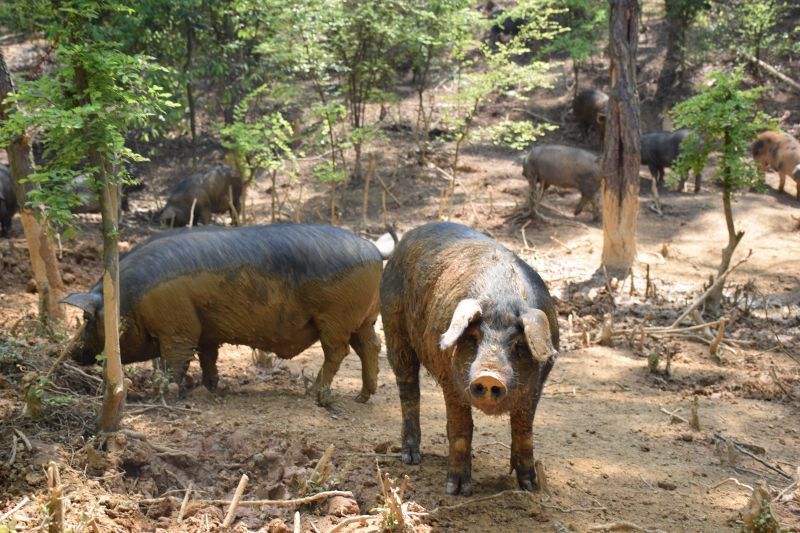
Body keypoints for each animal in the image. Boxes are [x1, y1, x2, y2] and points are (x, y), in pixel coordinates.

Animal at [61, 223, 390, 404]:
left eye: (87, 319)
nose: (71, 354)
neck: (129, 300)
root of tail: (374, 251)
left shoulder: (178, 327)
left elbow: (175, 360)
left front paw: (165, 394)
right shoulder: (205, 330)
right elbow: (208, 356)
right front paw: (210, 387)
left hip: (335, 317)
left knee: (338, 350)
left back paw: (316, 395)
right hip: (364, 317)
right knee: (370, 346)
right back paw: (362, 396)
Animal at [380, 220, 556, 494]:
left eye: (518, 344)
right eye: (473, 338)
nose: (489, 375)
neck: (502, 300)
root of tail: (403, 241)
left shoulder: (538, 385)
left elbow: (524, 428)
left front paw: (529, 485)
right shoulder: (450, 380)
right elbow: (461, 427)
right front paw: (456, 490)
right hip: (393, 327)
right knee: (408, 391)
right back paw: (411, 458)